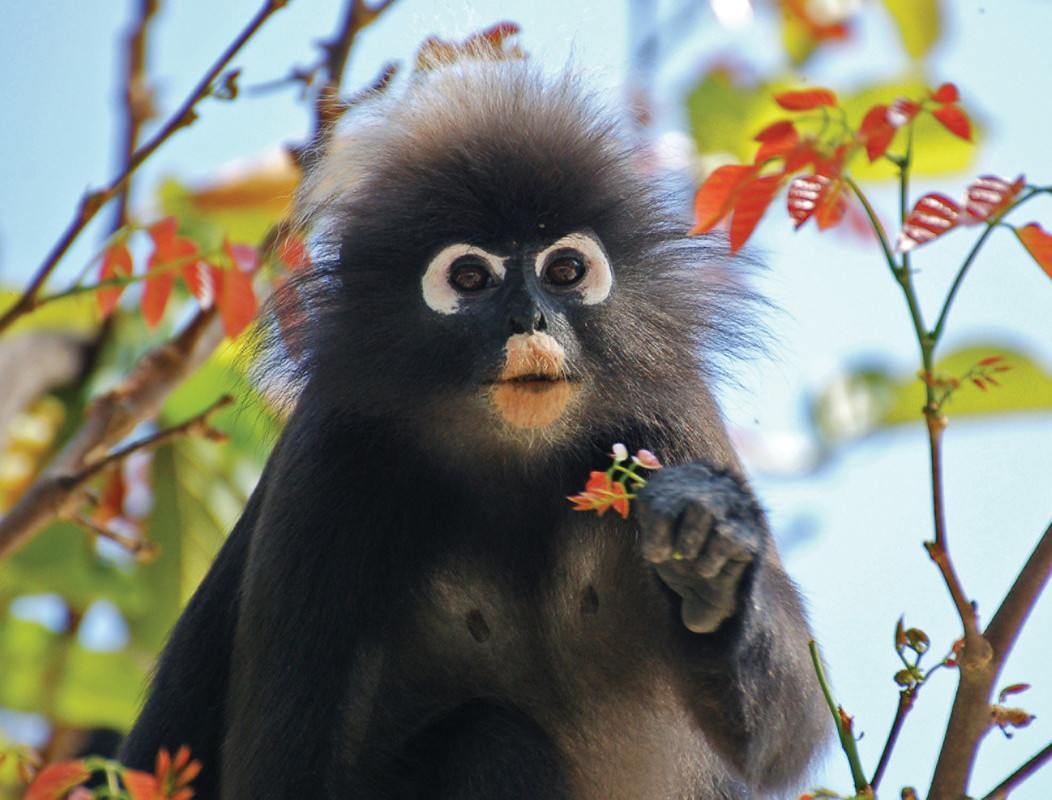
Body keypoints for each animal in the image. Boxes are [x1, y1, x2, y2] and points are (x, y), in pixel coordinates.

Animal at [120, 58, 830, 799]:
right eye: (469, 277)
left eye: (564, 271)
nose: (530, 320)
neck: (512, 454)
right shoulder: (329, 459)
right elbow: (281, 776)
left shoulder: (670, 412)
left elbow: (789, 732)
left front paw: (709, 551)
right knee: (489, 738)